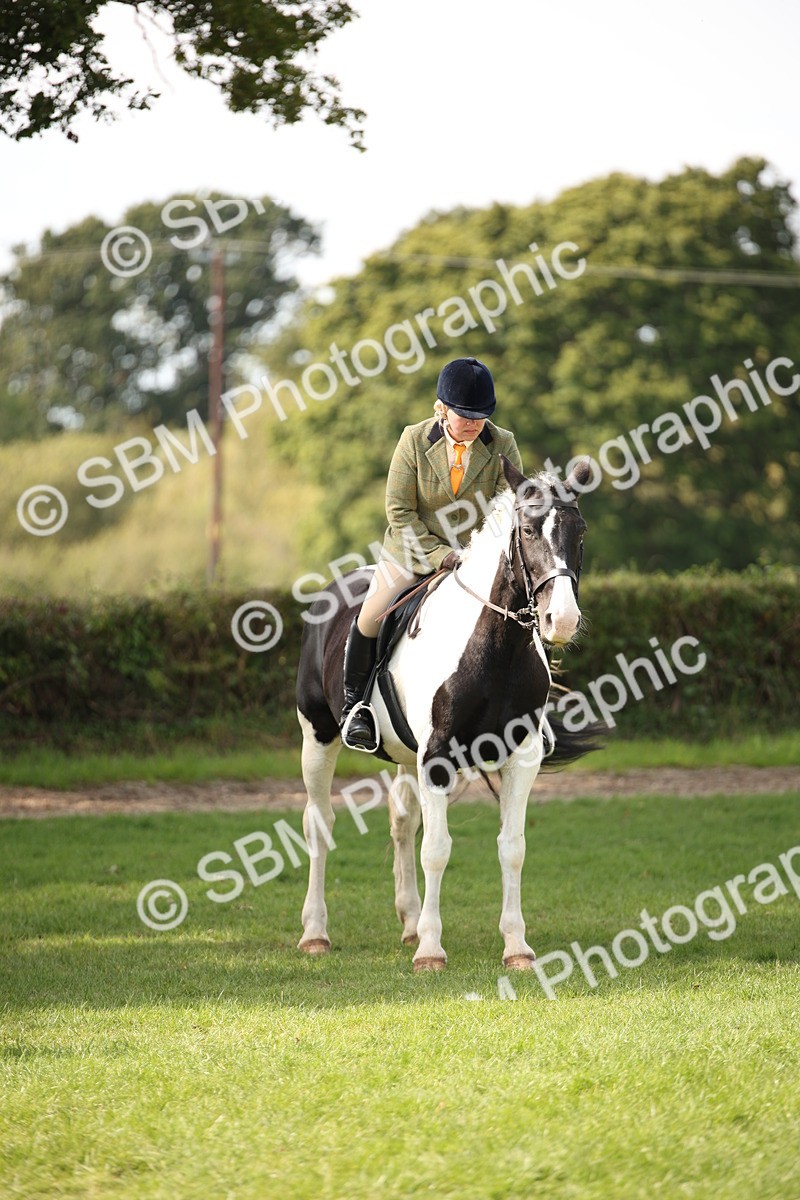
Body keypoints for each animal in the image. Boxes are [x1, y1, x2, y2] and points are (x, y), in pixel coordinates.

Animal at [295, 455, 597, 971]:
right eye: (528, 530)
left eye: (579, 532)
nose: (562, 621)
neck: (495, 645)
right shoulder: (436, 758)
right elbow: (435, 850)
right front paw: (432, 951)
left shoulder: (521, 759)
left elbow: (512, 848)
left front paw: (516, 947)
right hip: (318, 736)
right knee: (319, 825)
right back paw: (316, 932)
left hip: (404, 755)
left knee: (402, 822)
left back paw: (409, 922)